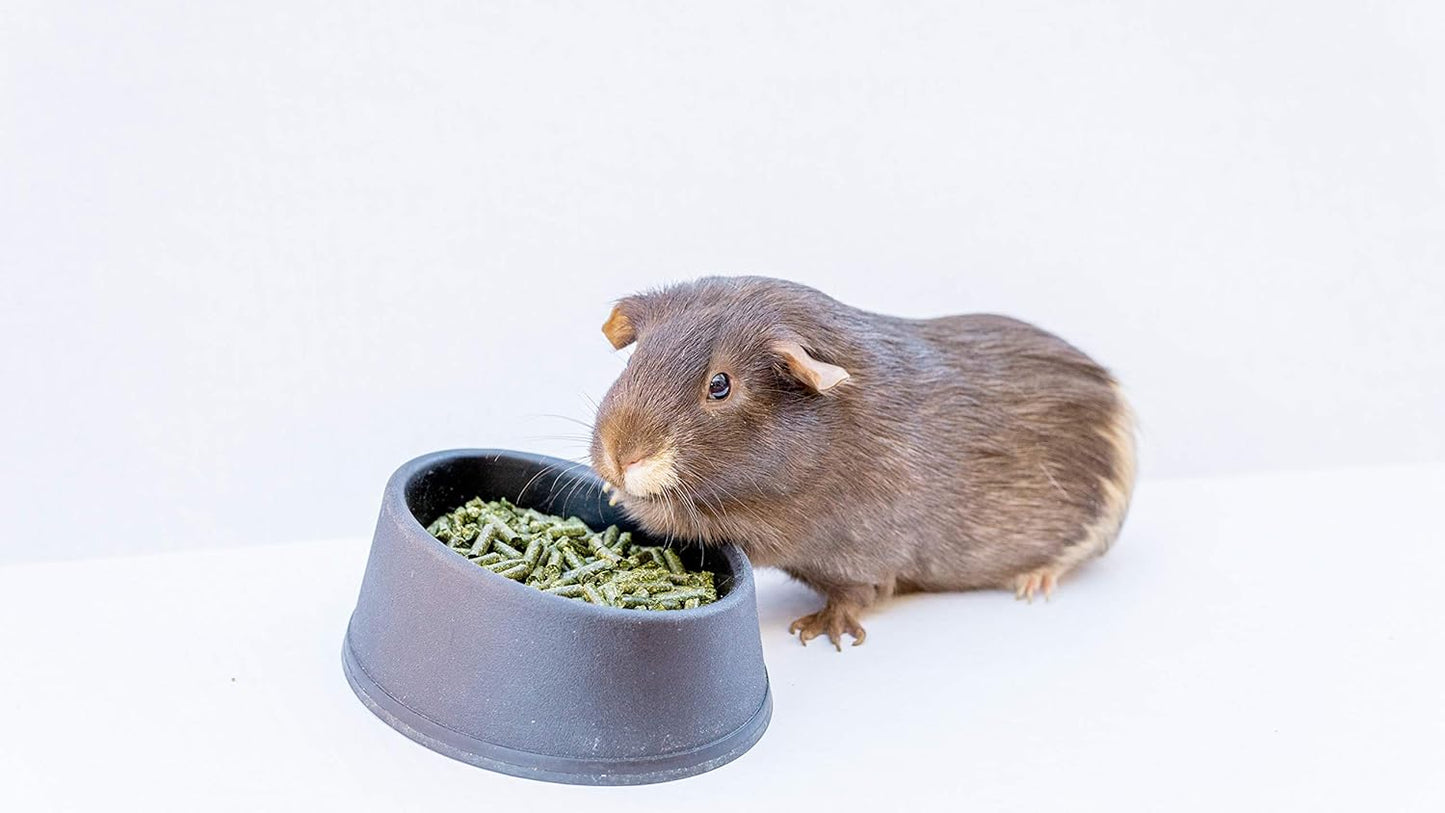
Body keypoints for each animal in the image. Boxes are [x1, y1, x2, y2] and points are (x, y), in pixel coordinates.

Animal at [588, 276, 1136, 650]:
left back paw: (1032, 586)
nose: (619, 457)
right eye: (636, 361)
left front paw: (817, 633)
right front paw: (612, 491)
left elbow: (853, 595)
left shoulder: (843, 552)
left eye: (719, 385)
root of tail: (1118, 409)